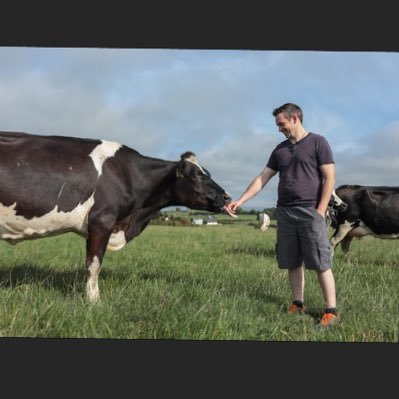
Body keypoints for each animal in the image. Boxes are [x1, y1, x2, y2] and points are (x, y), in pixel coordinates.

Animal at [0, 130, 234, 302]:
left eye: (208, 173)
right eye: (197, 177)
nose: (227, 197)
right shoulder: (102, 220)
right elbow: (94, 264)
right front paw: (94, 301)